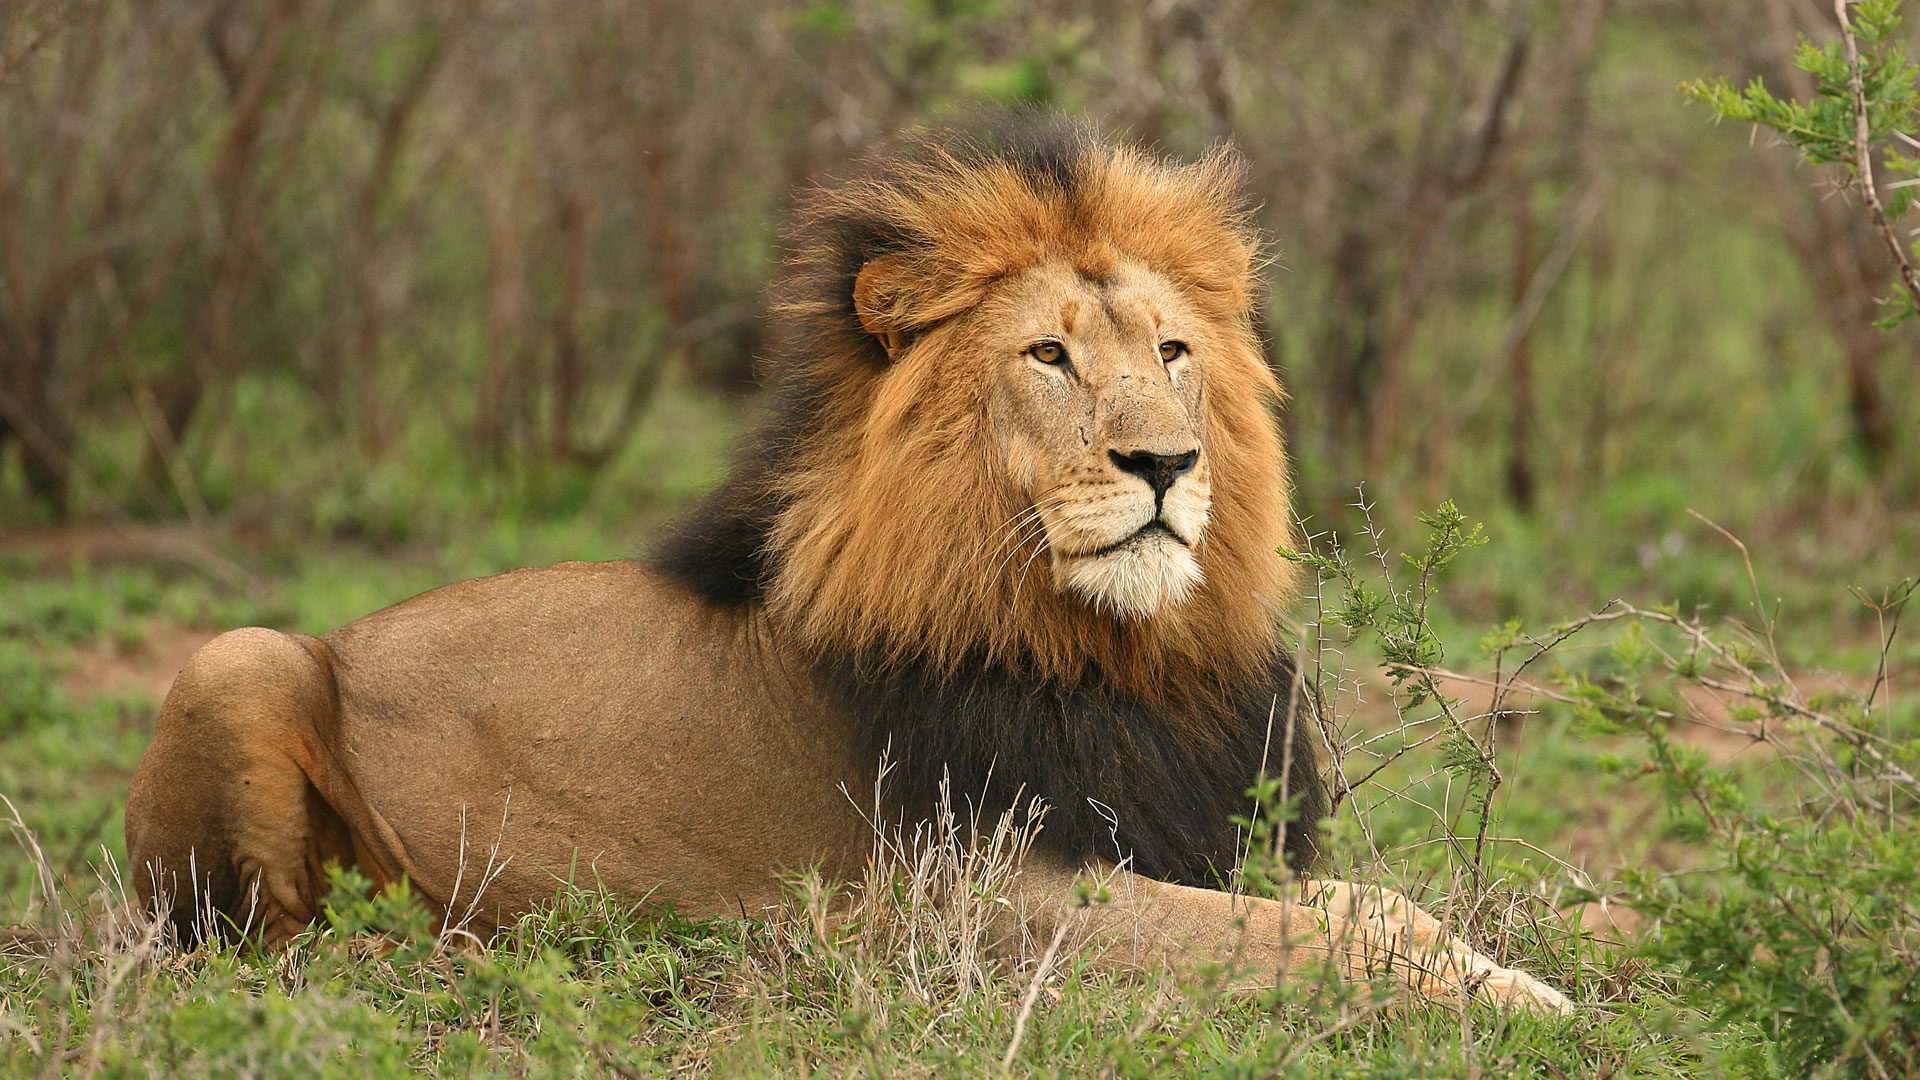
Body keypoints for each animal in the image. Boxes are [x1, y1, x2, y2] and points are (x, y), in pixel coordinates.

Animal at [124, 115, 1570, 1012]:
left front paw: (1526, 979)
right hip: (239, 661)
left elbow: (1382, 906)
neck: (1117, 652)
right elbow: (1306, 935)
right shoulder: (980, 901)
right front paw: (1512, 1007)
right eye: (1049, 355)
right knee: (247, 943)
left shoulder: (1193, 833)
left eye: (1171, 352)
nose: (1165, 462)